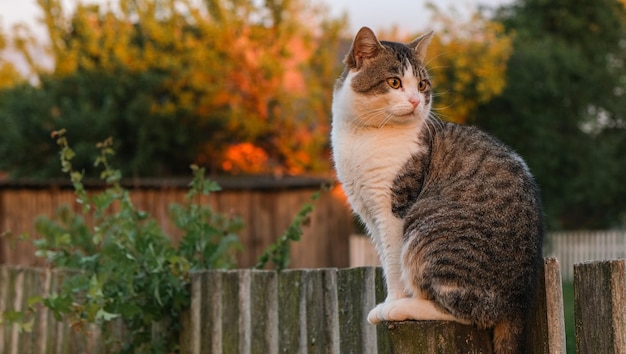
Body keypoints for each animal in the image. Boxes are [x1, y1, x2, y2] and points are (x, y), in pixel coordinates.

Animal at [330, 26, 544, 352]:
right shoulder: (368, 213)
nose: (416, 101)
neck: (363, 136)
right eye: (394, 82)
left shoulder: (393, 209)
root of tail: (518, 303)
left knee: (465, 311)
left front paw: (391, 301)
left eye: (421, 85)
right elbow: (384, 259)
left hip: (429, 231)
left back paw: (404, 308)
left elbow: (393, 265)